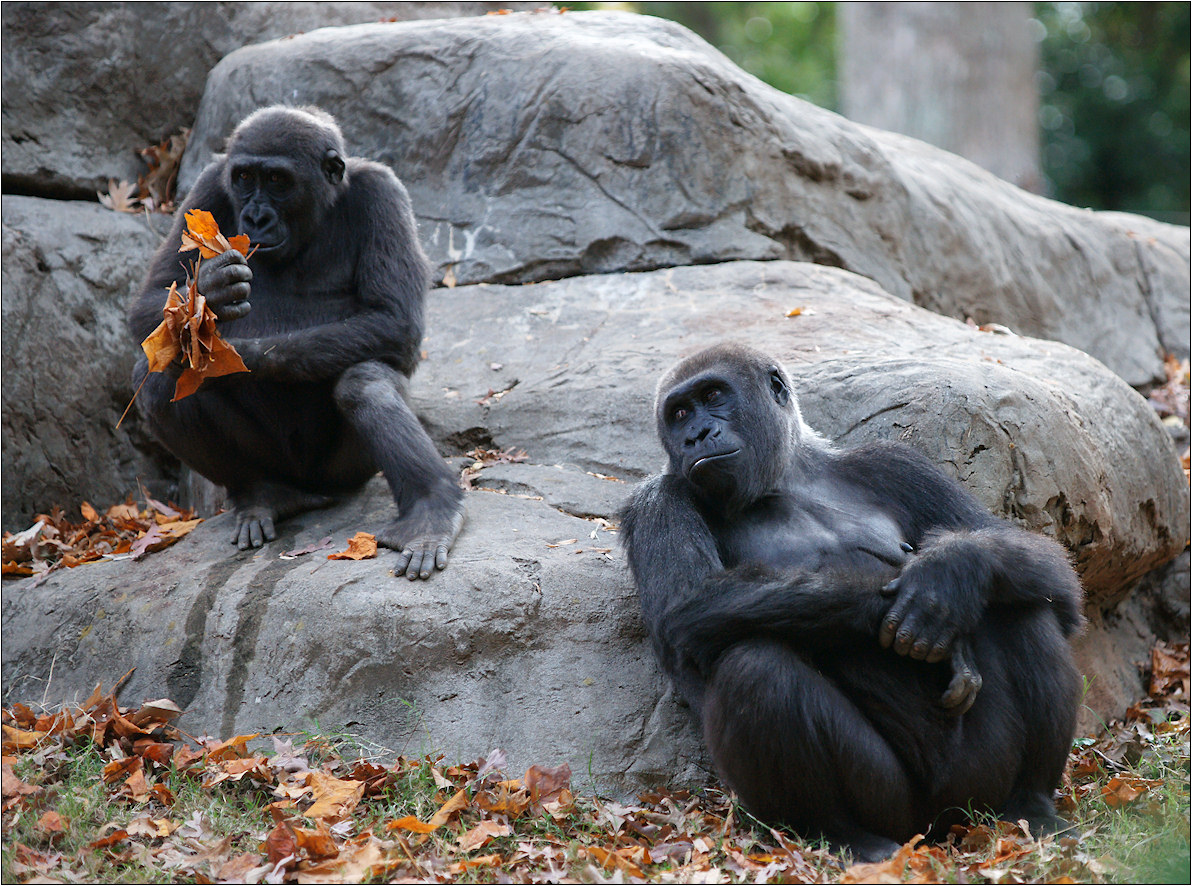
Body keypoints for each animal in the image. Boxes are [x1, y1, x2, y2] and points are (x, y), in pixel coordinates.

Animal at [128, 105, 462, 581]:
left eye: (277, 180)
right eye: (244, 177)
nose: (255, 218)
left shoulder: (383, 193)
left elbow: (393, 319)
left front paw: (235, 359)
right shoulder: (209, 184)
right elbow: (151, 307)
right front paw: (211, 289)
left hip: (342, 475)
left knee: (365, 383)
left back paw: (431, 508)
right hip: (278, 468)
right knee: (160, 382)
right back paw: (262, 493)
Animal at [619, 343, 1087, 863]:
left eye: (712, 396)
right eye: (679, 414)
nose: (696, 435)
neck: (788, 478)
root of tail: (940, 828)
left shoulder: (895, 463)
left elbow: (1048, 571)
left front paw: (952, 569)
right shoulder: (657, 500)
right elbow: (691, 605)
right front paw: (921, 608)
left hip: (978, 788)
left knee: (1025, 606)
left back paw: (1031, 804)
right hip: (897, 808)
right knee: (755, 668)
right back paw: (839, 833)